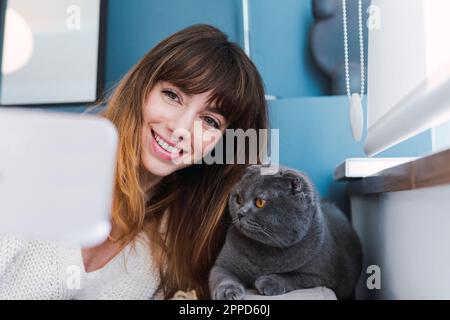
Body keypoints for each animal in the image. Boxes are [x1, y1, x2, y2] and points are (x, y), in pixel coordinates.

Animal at [210, 166, 362, 298]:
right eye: (238, 199)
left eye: (260, 202)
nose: (240, 214)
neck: (264, 252)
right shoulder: (222, 265)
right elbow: (223, 276)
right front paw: (227, 292)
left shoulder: (325, 276)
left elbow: (295, 277)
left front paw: (270, 282)